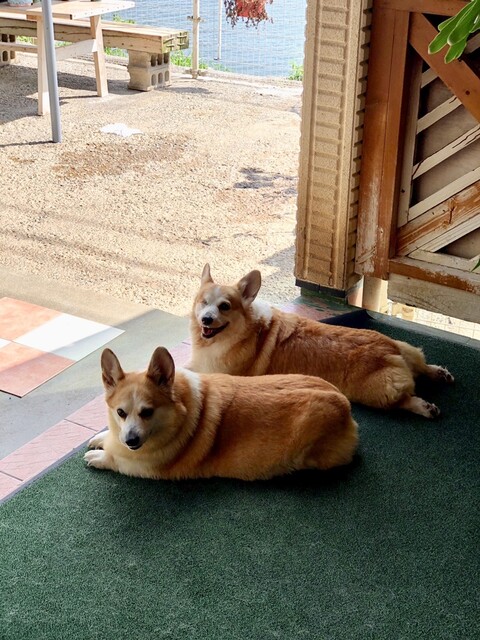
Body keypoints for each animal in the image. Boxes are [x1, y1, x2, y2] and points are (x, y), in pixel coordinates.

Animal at [84, 346, 358, 481]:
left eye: (147, 412)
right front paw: (100, 439)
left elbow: (118, 461)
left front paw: (98, 457)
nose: (131, 441)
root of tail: (346, 407)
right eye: (120, 412)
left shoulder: (146, 467)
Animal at [189, 264, 454, 419]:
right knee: (421, 364)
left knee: (403, 399)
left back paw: (425, 407)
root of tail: (389, 349)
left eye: (224, 306)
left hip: (378, 393)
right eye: (204, 302)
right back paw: (439, 372)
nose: (206, 319)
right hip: (405, 347)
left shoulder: (216, 370)